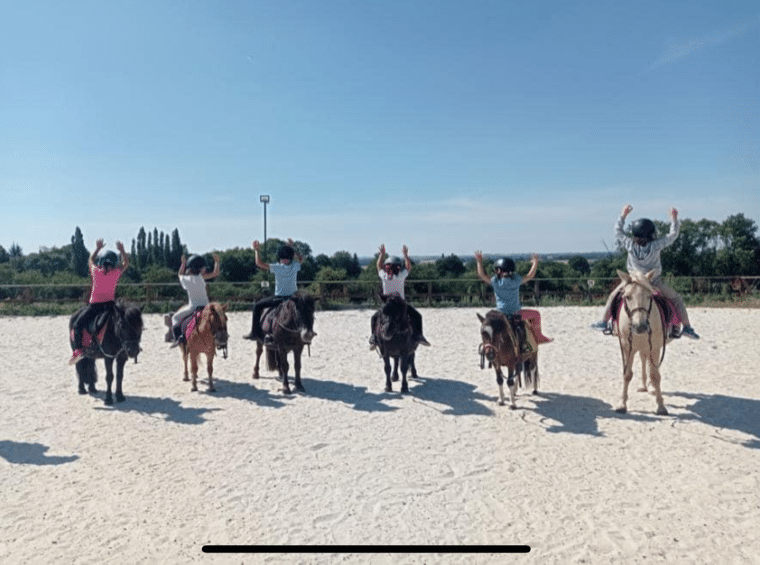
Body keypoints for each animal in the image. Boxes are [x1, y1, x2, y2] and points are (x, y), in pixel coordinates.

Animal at [616, 268, 672, 414]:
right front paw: (622, 404)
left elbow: (655, 375)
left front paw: (661, 406)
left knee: (651, 366)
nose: (640, 326)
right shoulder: (627, 347)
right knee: (643, 360)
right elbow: (627, 374)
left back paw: (651, 388)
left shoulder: (655, 347)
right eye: (628, 297)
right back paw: (643, 386)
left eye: (649, 296)